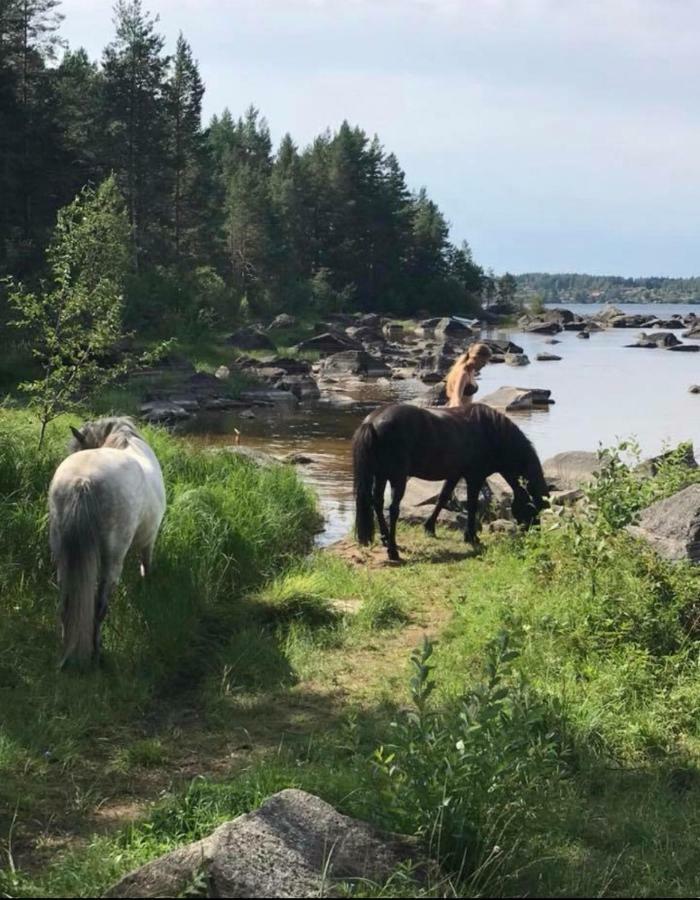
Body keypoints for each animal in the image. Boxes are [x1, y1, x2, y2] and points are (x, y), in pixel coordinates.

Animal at [48, 418, 167, 664]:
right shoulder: (149, 539)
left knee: (65, 602)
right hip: (112, 560)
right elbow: (146, 565)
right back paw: (96, 653)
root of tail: (82, 482)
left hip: (61, 555)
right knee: (100, 607)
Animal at [356, 402, 548, 560]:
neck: (491, 432)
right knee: (393, 509)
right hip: (397, 477)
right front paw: (471, 536)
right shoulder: (475, 477)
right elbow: (472, 505)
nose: (536, 535)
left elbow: (443, 497)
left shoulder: (455, 475)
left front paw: (429, 528)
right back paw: (393, 551)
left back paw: (385, 539)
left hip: (381, 476)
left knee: (378, 503)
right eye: (534, 510)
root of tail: (372, 422)